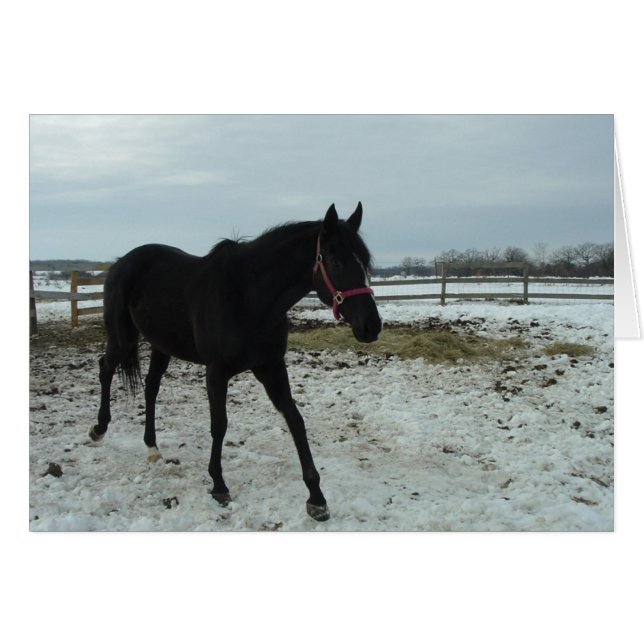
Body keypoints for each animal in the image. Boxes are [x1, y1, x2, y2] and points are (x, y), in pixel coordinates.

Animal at [89, 202, 382, 521]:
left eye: (365, 262)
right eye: (336, 261)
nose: (371, 326)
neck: (248, 297)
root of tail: (121, 263)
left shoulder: (271, 367)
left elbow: (295, 420)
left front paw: (316, 497)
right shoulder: (216, 372)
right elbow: (219, 424)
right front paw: (219, 485)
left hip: (161, 345)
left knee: (151, 387)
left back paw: (152, 447)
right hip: (123, 337)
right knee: (105, 367)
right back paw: (99, 429)